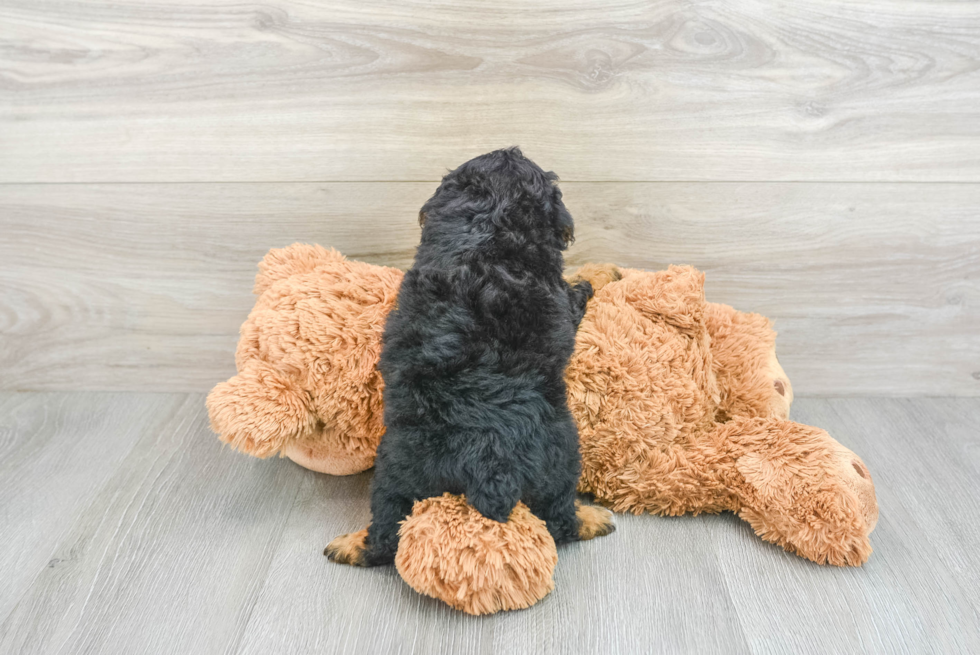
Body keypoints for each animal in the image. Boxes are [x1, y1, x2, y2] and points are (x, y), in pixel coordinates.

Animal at [328, 149, 612, 568]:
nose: (513, 148)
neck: (487, 229)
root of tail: (488, 461)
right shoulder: (564, 300)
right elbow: (583, 285)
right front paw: (607, 270)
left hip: (399, 473)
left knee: (387, 532)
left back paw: (349, 545)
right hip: (560, 457)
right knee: (559, 521)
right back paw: (592, 518)